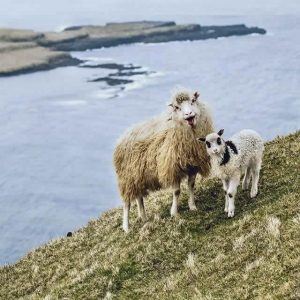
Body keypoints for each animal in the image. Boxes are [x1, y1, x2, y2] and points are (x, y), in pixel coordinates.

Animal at [112, 89, 213, 232]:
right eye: (177, 107)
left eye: (193, 101)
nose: (189, 114)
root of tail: (121, 139)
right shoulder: (172, 168)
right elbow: (176, 191)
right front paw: (174, 213)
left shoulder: (193, 166)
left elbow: (191, 186)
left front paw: (193, 206)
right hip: (127, 179)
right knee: (127, 203)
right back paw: (126, 227)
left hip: (138, 176)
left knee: (139, 198)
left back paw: (143, 217)